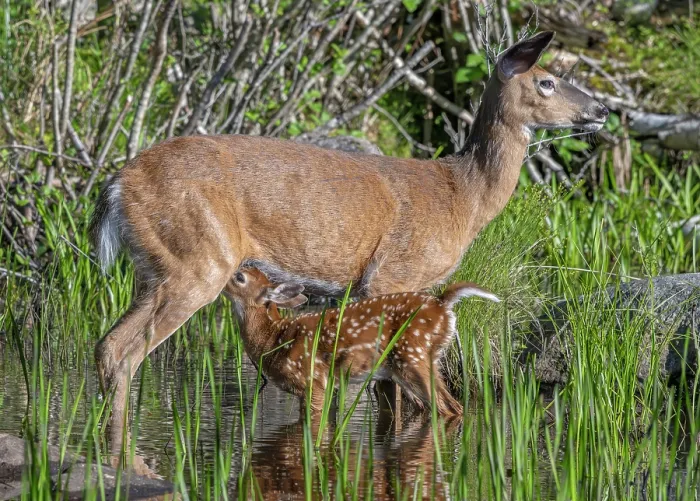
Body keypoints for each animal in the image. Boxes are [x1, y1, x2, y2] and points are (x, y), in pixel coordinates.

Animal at [222, 267, 500, 415]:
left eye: (240, 277)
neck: (274, 339)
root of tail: (442, 304)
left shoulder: (313, 381)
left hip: (414, 356)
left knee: (448, 408)